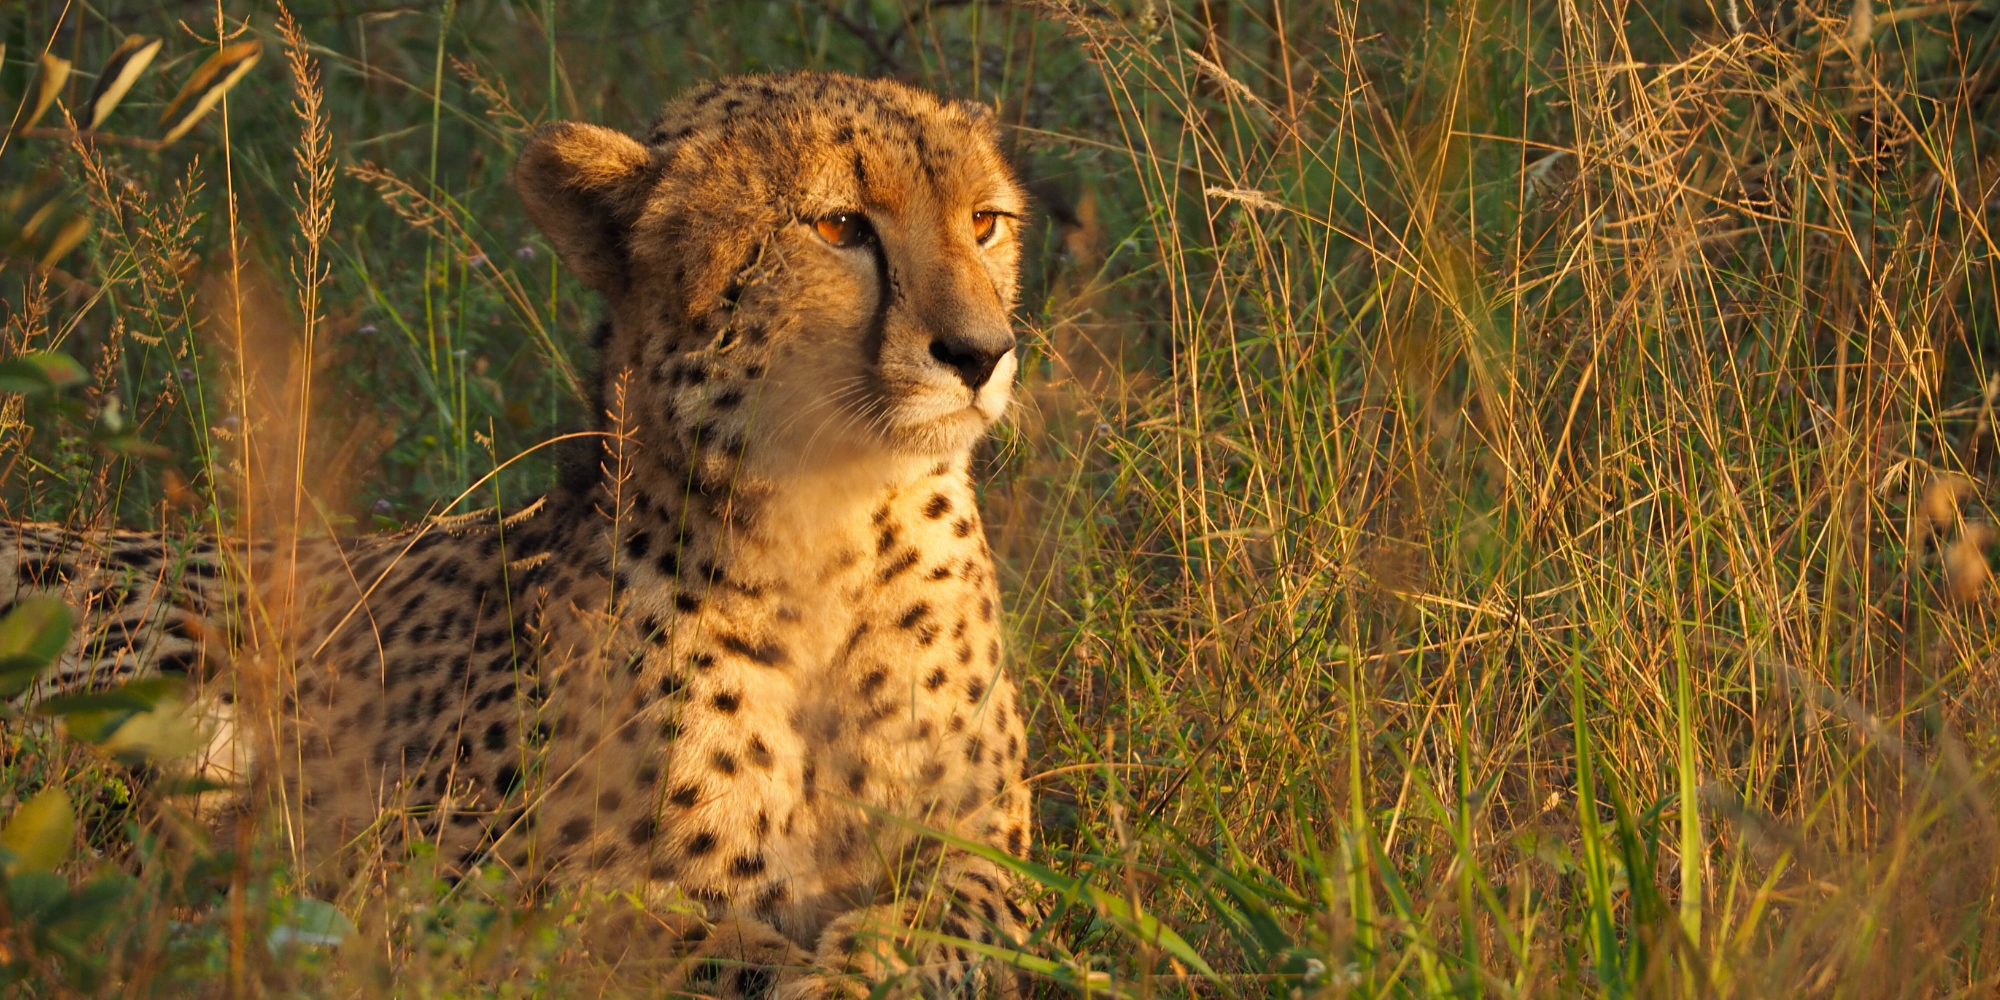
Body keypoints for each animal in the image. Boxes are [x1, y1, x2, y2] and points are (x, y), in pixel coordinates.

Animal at [0, 71, 1038, 1000]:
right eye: (838, 228)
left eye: (985, 222)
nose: (982, 353)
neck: (832, 531)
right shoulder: (442, 872)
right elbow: (637, 931)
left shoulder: (989, 850)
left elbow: (953, 923)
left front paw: (856, 972)